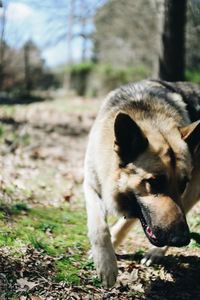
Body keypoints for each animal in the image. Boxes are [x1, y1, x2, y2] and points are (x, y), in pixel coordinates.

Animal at [83, 79, 200, 288]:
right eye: (154, 182)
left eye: (182, 184)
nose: (181, 240)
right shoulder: (91, 184)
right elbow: (99, 227)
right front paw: (106, 263)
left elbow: (124, 224)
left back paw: (156, 252)